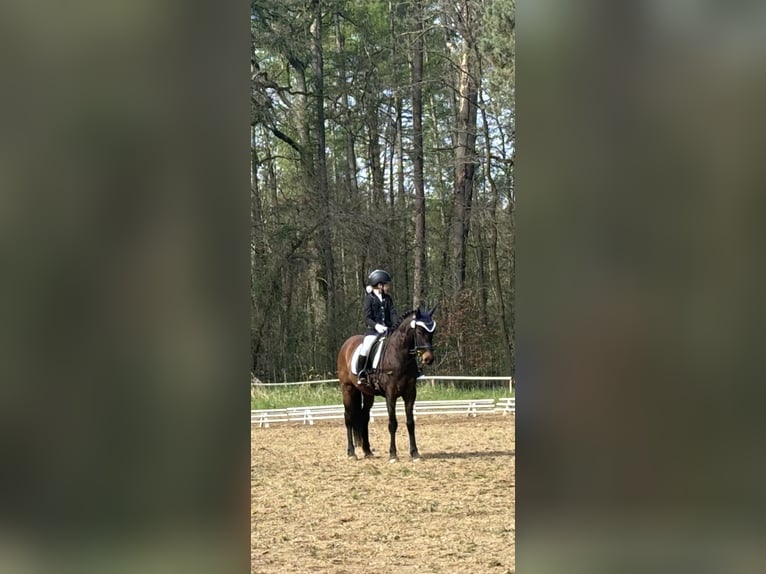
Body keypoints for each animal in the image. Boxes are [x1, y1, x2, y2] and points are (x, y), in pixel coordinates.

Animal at [338, 306, 438, 464]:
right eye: (419, 332)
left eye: (432, 332)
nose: (428, 358)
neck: (400, 355)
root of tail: (347, 344)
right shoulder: (391, 394)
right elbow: (392, 423)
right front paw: (393, 455)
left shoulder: (410, 393)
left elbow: (410, 423)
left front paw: (415, 453)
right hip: (347, 389)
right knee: (348, 417)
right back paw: (351, 453)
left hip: (367, 393)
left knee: (364, 416)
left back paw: (367, 451)